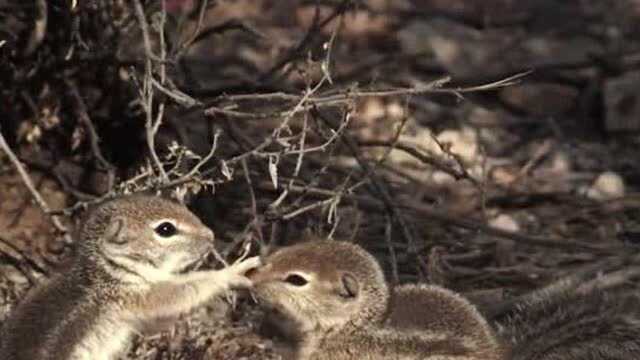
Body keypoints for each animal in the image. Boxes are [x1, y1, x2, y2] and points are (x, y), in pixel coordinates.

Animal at [0, 195, 262, 360]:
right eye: (166, 229)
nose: (211, 235)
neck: (106, 272)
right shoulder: (136, 296)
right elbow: (182, 292)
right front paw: (232, 273)